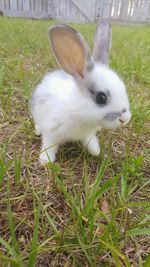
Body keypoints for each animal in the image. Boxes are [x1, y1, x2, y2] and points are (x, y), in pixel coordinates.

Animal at [30, 19, 131, 165]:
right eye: (101, 97)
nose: (126, 119)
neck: (78, 113)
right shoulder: (51, 132)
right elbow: (49, 145)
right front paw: (45, 161)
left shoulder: (88, 134)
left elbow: (90, 142)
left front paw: (95, 152)